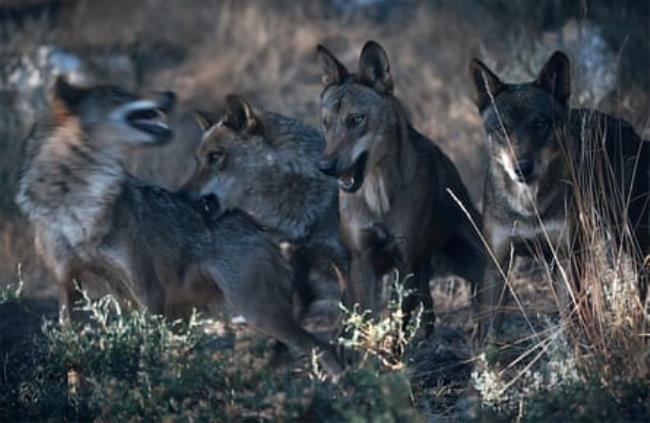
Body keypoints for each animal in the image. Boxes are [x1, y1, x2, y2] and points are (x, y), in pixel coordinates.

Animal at [316, 41, 486, 335]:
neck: (378, 195)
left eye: (355, 119)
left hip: (474, 260)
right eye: (326, 123)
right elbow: (369, 318)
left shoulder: (406, 260)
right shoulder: (363, 260)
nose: (325, 166)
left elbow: (397, 321)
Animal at [470, 51, 650, 342]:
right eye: (502, 128)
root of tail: (627, 128)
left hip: (625, 236)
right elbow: (490, 332)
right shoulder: (498, 263)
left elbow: (571, 323)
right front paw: (488, 355)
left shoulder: (565, 259)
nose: (522, 168)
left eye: (539, 123)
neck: (528, 206)